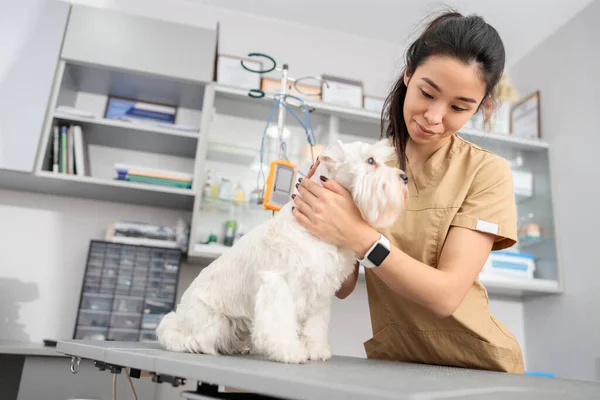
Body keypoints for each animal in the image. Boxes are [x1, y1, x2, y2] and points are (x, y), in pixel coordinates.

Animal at [156, 139, 408, 364]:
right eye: (370, 160)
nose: (404, 177)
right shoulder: (278, 285)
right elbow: (280, 323)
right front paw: (290, 351)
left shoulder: (320, 292)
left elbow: (315, 327)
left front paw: (317, 350)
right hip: (211, 321)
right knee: (180, 334)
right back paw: (193, 344)